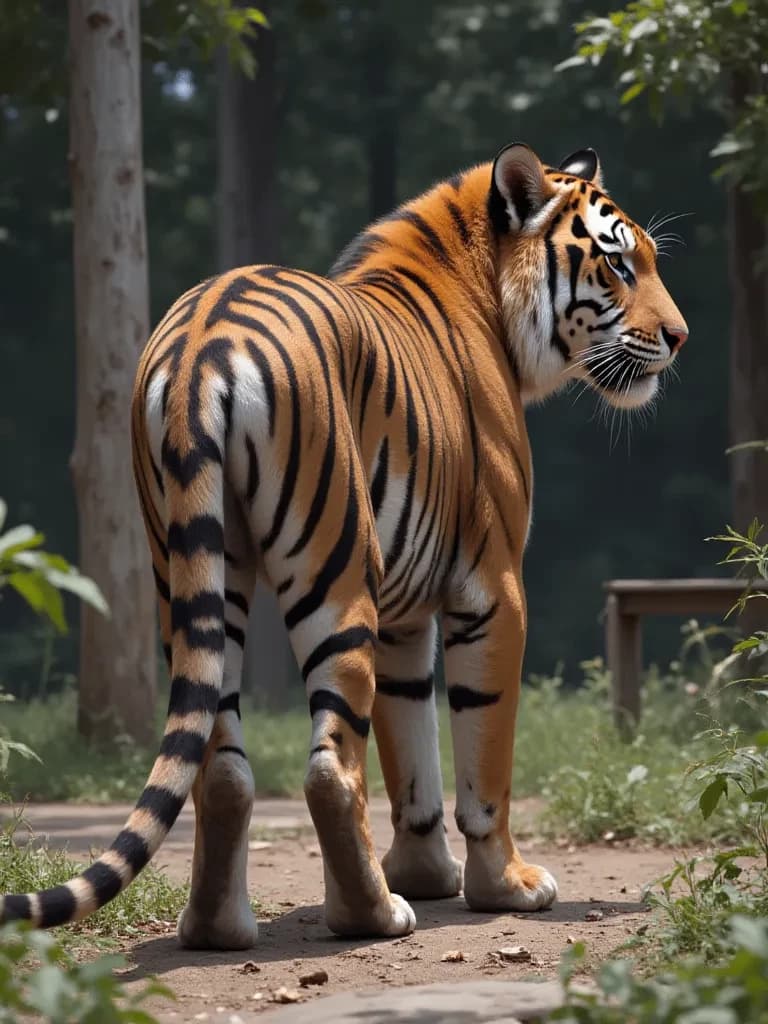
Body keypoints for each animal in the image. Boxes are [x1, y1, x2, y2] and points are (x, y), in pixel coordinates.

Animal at [1, 143, 687, 948]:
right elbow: (481, 758)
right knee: (332, 768)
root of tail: (203, 344)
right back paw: (372, 915)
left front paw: (425, 874)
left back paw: (218, 927)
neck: (483, 285)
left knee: (219, 766)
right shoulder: (492, 589)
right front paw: (504, 886)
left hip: (199, 579)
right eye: (618, 265)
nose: (679, 338)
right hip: (335, 576)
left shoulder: (404, 612)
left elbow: (411, 744)